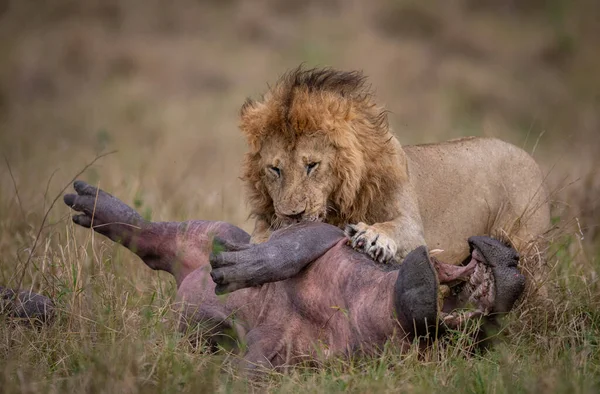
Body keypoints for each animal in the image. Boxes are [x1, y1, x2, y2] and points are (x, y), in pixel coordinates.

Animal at [237, 67, 552, 264]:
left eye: (312, 165)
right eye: (275, 169)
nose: (294, 216)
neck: (338, 203)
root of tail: (526, 154)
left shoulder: (414, 229)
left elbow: (394, 226)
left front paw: (373, 236)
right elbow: (261, 233)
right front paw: (264, 243)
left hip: (528, 246)